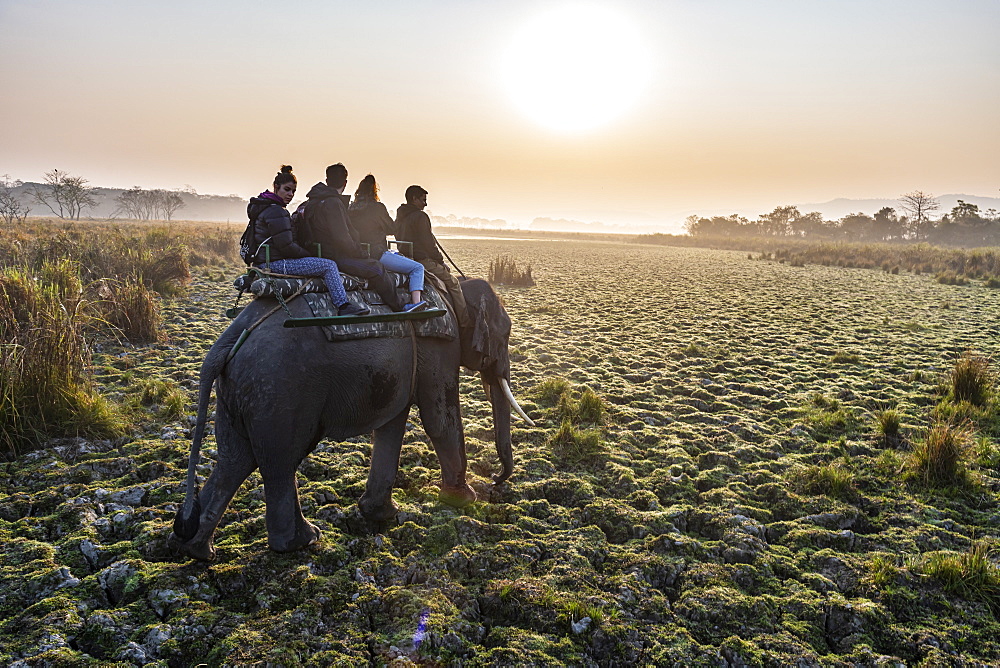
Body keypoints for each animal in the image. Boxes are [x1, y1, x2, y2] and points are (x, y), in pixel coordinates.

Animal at [171, 278, 532, 564]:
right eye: (506, 333)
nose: (496, 481)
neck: (455, 287)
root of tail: (228, 338)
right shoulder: (440, 344)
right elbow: (438, 418)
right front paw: (464, 501)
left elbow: (392, 423)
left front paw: (381, 515)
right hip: (279, 388)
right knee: (280, 460)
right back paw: (302, 542)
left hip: (237, 390)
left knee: (235, 459)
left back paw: (194, 549)